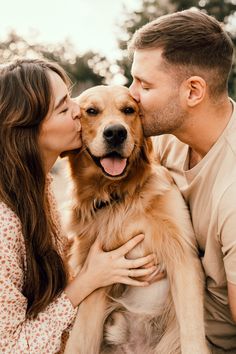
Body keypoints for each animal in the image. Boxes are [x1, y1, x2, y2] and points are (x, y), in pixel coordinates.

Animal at [63, 85, 209, 354]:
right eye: (91, 111)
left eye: (129, 110)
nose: (115, 133)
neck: (119, 196)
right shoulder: (97, 274)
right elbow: (81, 340)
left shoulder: (183, 256)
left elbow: (193, 334)